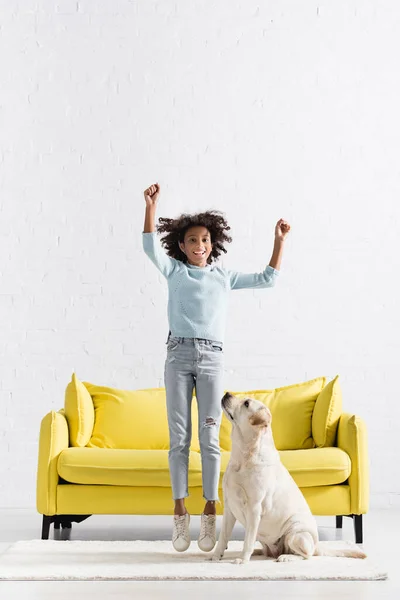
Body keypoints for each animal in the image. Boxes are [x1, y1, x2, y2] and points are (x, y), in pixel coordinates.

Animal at [212, 392, 366, 564]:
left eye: (246, 403)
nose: (227, 393)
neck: (243, 457)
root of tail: (317, 545)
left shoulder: (254, 508)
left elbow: (248, 540)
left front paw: (243, 560)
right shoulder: (229, 506)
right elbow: (223, 537)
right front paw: (216, 556)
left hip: (295, 534)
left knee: (306, 555)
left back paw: (285, 556)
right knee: (267, 550)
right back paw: (257, 552)